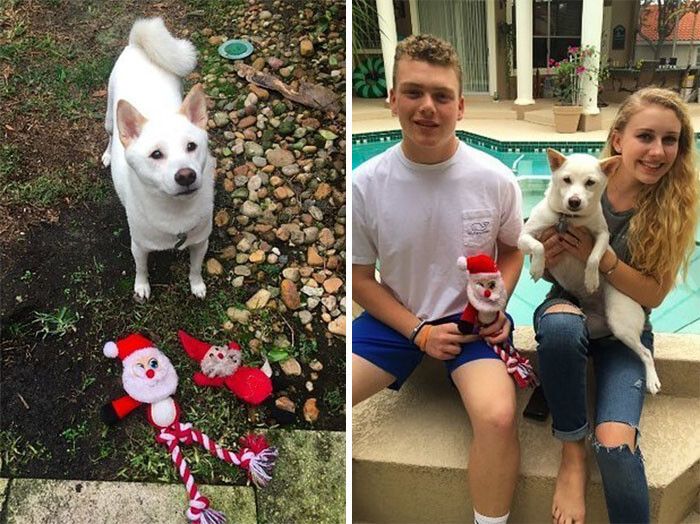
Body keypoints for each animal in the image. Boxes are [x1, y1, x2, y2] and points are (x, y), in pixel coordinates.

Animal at [102, 18, 213, 300]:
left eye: (191, 146)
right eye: (156, 154)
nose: (186, 175)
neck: (176, 212)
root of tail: (138, 44)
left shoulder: (201, 242)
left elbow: (195, 268)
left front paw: (197, 285)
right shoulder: (139, 246)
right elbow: (141, 268)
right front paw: (141, 287)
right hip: (110, 115)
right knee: (110, 133)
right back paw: (107, 154)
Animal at [520, 147, 660, 392]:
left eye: (590, 183)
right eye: (566, 179)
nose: (574, 201)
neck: (569, 219)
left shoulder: (602, 235)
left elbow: (595, 257)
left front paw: (591, 279)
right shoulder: (524, 237)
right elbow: (538, 246)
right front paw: (537, 267)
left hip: (621, 323)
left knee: (645, 353)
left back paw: (652, 380)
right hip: (595, 327)